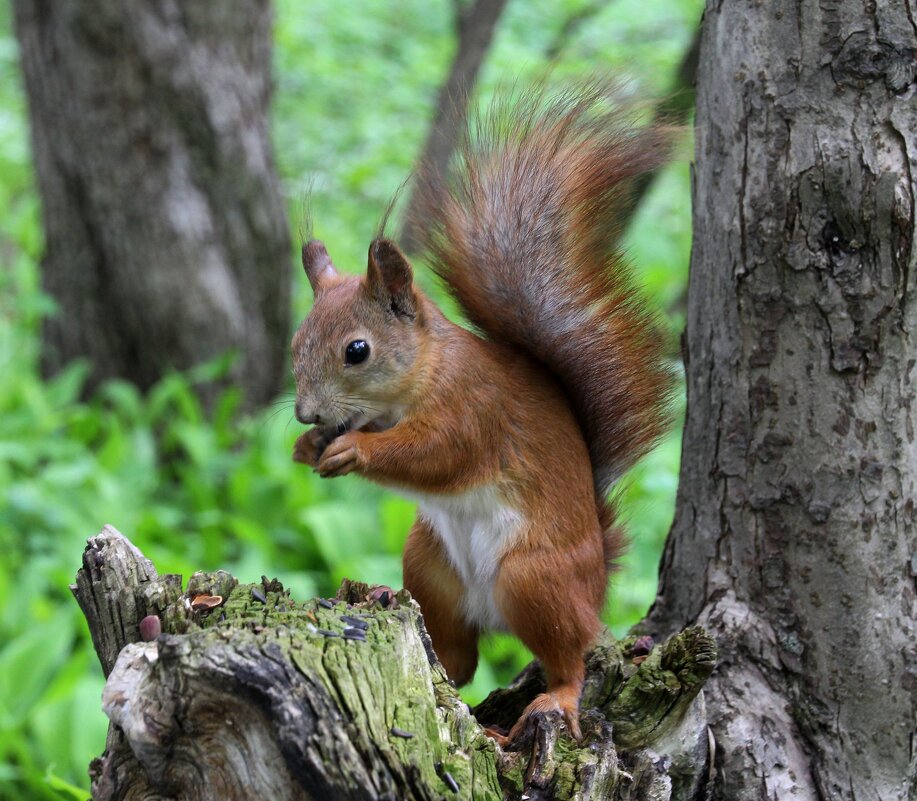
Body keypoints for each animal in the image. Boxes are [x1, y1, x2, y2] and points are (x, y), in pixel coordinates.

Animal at [290, 83, 668, 744]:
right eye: (296, 341)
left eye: (357, 350)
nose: (305, 415)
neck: (422, 377)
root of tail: (597, 583)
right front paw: (308, 450)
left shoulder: (475, 413)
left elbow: (436, 455)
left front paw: (354, 451)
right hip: (429, 564)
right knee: (456, 664)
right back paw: (388, 600)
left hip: (533, 578)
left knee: (568, 659)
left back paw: (555, 699)